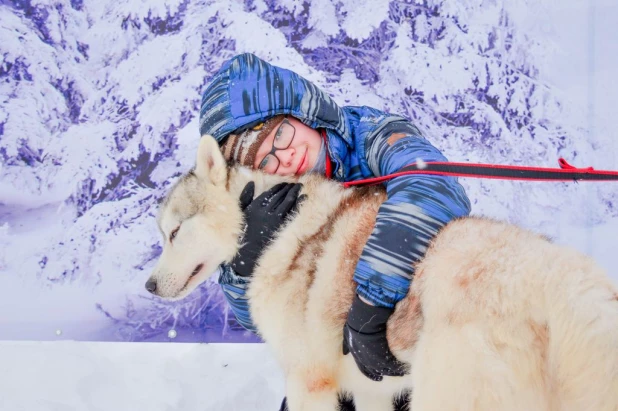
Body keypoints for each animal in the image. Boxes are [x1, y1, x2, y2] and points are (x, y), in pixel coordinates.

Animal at [146, 136, 616, 411]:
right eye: (163, 233)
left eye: (174, 232)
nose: (148, 285)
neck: (276, 231)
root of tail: (562, 275)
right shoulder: (369, 389)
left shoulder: (309, 383)